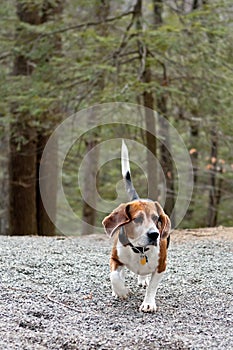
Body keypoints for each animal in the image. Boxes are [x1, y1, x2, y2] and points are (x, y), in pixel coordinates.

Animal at [102, 141, 171, 314]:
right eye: (138, 219)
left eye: (156, 219)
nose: (154, 235)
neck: (140, 250)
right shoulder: (115, 258)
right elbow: (114, 276)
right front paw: (120, 291)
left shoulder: (161, 266)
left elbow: (152, 287)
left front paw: (148, 303)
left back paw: (143, 279)